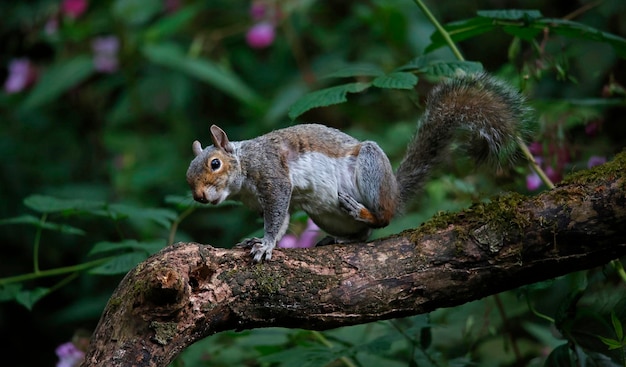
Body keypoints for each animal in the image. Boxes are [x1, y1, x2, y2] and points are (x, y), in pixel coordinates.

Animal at [185, 72, 532, 262]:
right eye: (188, 175)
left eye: (215, 164)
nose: (199, 196)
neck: (243, 166)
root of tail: (394, 193)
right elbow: (282, 220)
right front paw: (255, 240)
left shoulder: (273, 176)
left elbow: (276, 218)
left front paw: (265, 244)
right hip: (322, 213)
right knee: (363, 236)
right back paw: (341, 239)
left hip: (370, 167)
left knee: (383, 219)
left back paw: (365, 212)